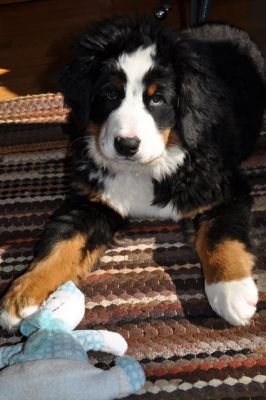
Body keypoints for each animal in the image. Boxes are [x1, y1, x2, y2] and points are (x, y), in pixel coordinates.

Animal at [0, 16, 266, 332]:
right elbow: (61, 243)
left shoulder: (222, 188)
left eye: (158, 99)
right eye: (110, 93)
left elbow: (220, 233)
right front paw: (25, 292)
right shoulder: (92, 202)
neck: (144, 169)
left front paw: (231, 290)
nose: (126, 145)